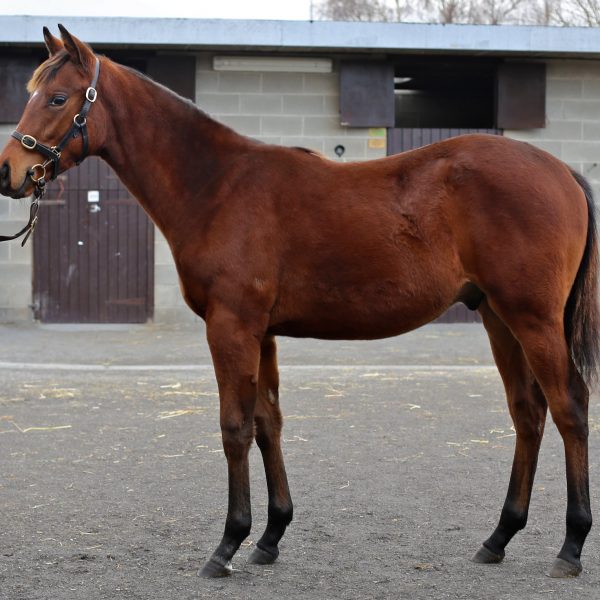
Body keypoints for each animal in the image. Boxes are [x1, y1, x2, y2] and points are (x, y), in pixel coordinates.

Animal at [1, 25, 600, 580]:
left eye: (57, 98)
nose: (8, 171)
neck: (218, 186)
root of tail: (563, 171)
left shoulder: (231, 327)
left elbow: (235, 427)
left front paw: (228, 544)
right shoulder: (261, 332)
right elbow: (269, 422)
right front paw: (270, 536)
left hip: (532, 319)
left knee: (569, 408)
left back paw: (570, 546)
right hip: (498, 318)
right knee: (528, 412)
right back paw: (498, 537)